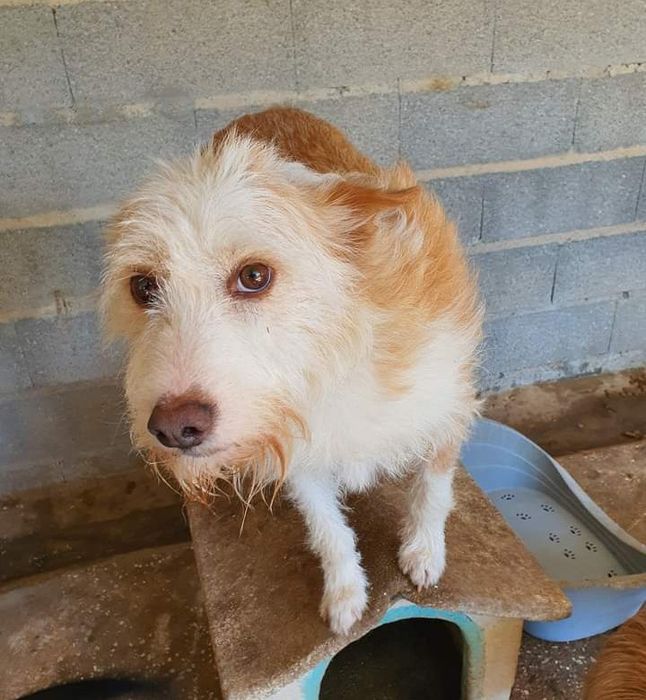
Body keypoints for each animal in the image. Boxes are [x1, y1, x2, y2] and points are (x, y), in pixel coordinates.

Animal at [101, 107, 482, 634]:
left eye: (254, 276)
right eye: (142, 287)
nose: (174, 428)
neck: (332, 357)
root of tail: (264, 110)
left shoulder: (447, 405)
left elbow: (433, 490)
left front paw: (424, 553)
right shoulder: (299, 457)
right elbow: (328, 532)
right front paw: (344, 595)